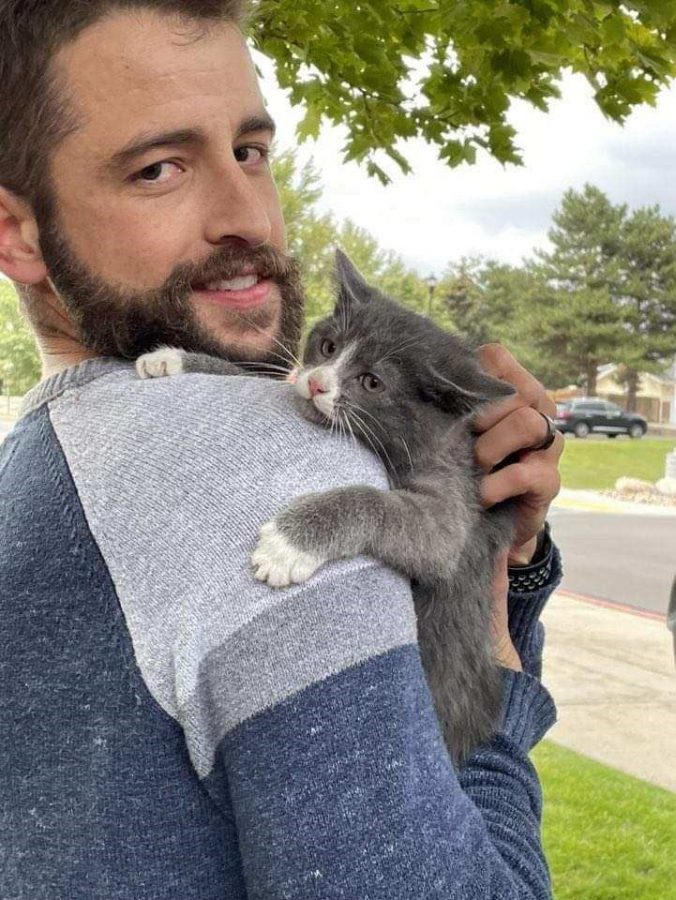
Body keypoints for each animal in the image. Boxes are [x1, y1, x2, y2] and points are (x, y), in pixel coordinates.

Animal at [137, 251, 516, 768]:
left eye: (372, 382)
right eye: (328, 345)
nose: (317, 383)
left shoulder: (453, 507)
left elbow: (379, 505)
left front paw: (290, 543)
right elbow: (264, 380)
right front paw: (174, 358)